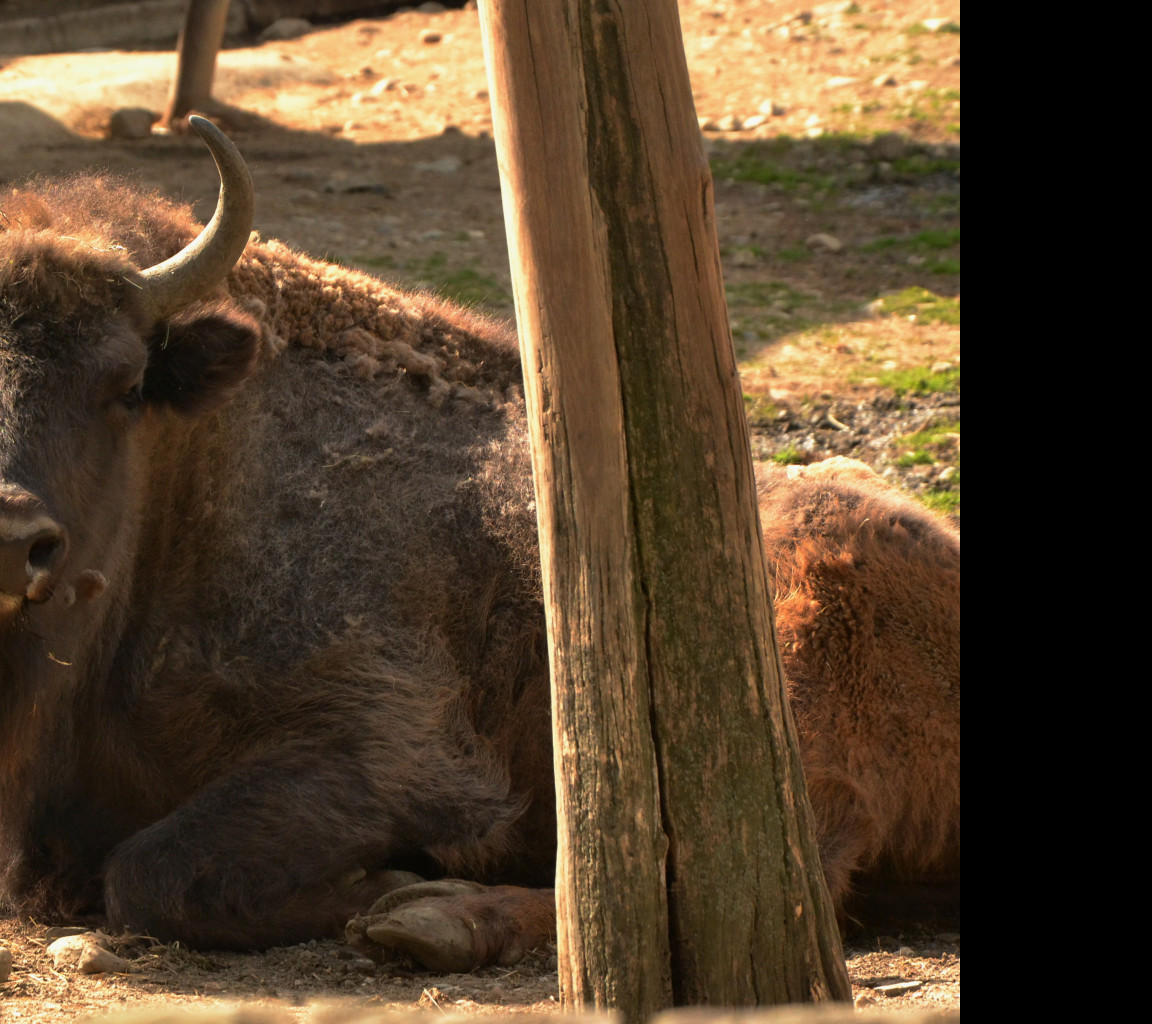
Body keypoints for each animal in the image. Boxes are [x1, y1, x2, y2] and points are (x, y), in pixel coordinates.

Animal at [0, 119, 953, 967]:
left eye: (128, 385)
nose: (17, 537)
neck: (198, 476)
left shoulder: (390, 746)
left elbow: (151, 873)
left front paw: (387, 885)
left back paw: (430, 919)